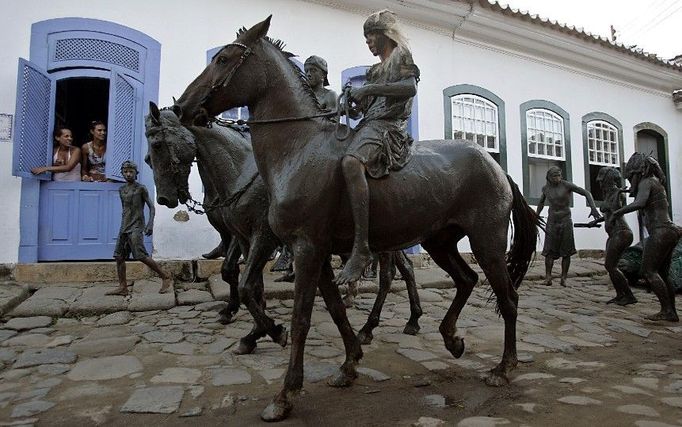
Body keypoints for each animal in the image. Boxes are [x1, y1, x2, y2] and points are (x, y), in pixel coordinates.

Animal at [178, 15, 540, 422]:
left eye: (223, 59)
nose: (182, 107)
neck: (298, 149)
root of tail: (495, 166)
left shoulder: (305, 249)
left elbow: (301, 318)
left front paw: (285, 393)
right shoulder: (314, 252)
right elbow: (335, 309)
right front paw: (349, 364)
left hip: (487, 241)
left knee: (508, 298)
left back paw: (503, 367)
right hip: (440, 241)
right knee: (466, 280)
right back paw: (451, 339)